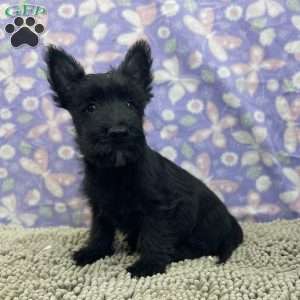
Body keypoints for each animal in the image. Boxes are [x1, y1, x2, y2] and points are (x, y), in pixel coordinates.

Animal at [45, 39, 244, 276]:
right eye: (90, 107)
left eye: (131, 104)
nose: (118, 132)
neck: (116, 171)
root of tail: (232, 226)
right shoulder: (99, 207)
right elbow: (99, 231)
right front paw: (93, 252)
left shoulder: (158, 208)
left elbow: (154, 236)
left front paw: (148, 265)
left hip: (205, 224)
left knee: (201, 246)